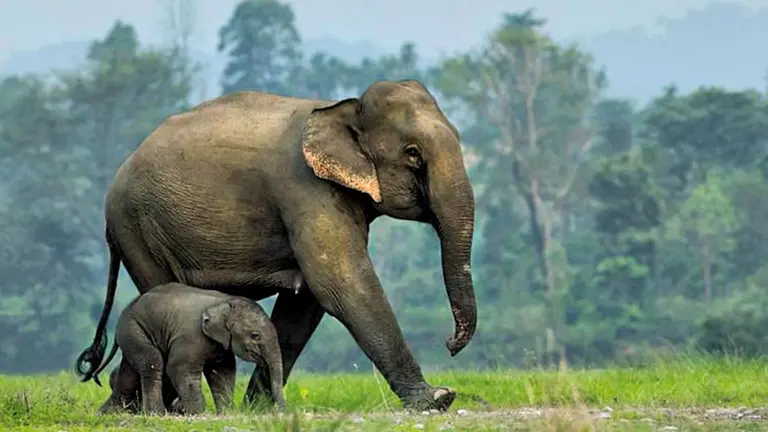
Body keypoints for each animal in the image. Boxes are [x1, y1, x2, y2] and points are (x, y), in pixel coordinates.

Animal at [91, 282, 285, 415]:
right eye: (255, 335)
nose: (282, 410)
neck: (225, 300)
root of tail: (128, 308)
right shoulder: (192, 336)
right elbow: (178, 367)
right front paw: (191, 411)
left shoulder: (221, 344)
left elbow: (223, 372)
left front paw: (226, 412)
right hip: (134, 328)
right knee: (152, 360)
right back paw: (157, 413)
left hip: (133, 332)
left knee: (129, 371)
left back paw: (107, 413)